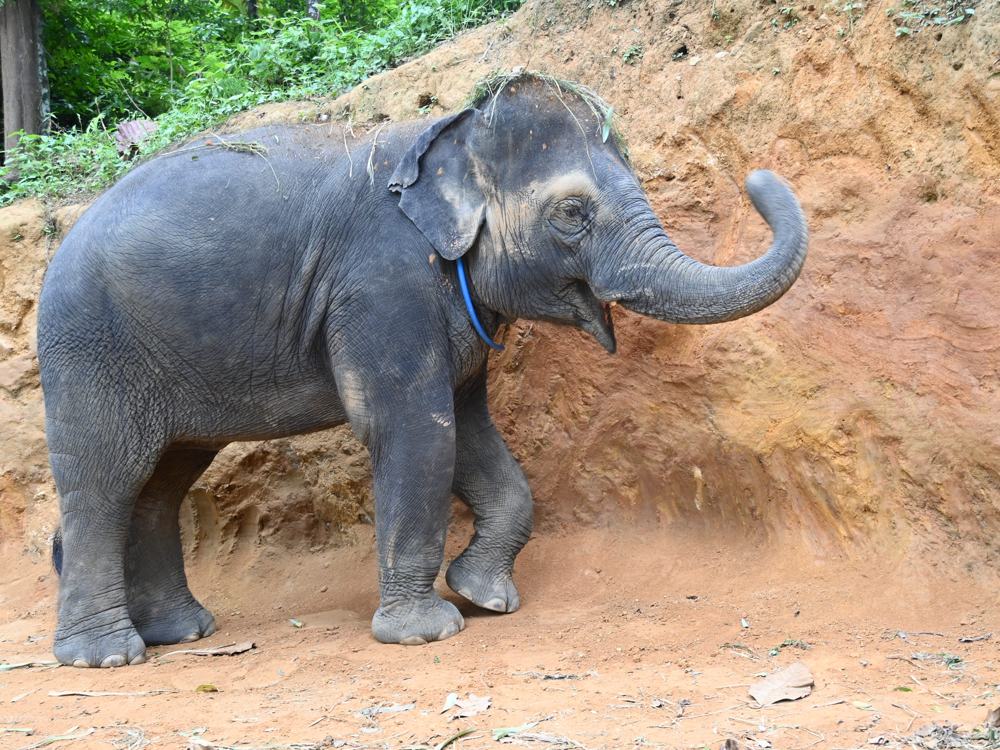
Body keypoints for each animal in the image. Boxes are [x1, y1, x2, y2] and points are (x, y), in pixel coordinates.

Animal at [38, 72, 807, 667]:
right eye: (572, 213)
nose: (758, 177)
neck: (447, 137)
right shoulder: (383, 285)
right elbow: (415, 427)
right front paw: (426, 633)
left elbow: (469, 430)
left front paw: (483, 594)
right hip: (89, 345)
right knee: (107, 478)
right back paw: (107, 656)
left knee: (162, 481)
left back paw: (181, 632)